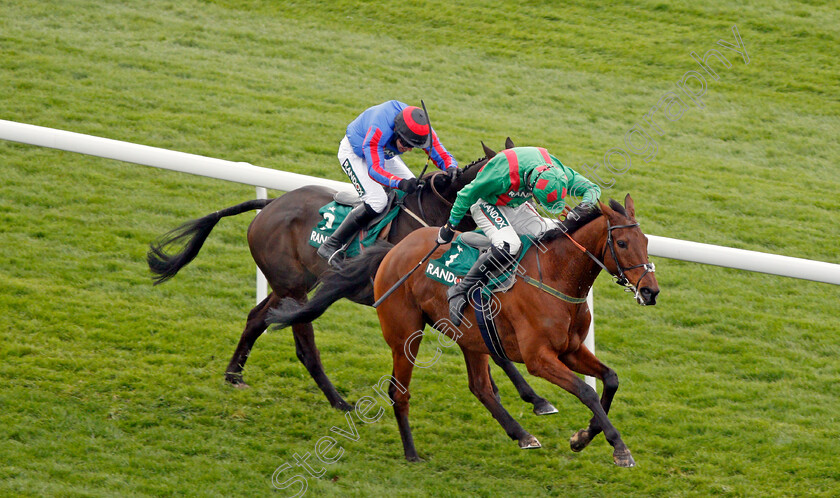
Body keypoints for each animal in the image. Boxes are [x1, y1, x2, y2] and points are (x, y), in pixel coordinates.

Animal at [149, 138, 556, 414]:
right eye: (515, 192)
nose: (541, 226)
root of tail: (269, 204)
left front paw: (529, 397)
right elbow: (492, 347)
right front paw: (535, 399)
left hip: (294, 284)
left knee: (256, 318)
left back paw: (234, 374)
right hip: (294, 288)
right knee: (304, 345)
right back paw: (338, 400)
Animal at [360, 196, 656, 466]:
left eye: (646, 241)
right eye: (622, 243)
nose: (650, 291)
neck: (555, 276)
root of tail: (395, 248)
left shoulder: (570, 350)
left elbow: (610, 379)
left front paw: (582, 437)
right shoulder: (538, 359)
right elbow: (587, 392)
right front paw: (619, 448)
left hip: (470, 337)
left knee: (480, 387)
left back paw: (522, 434)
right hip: (405, 337)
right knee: (399, 392)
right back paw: (411, 453)